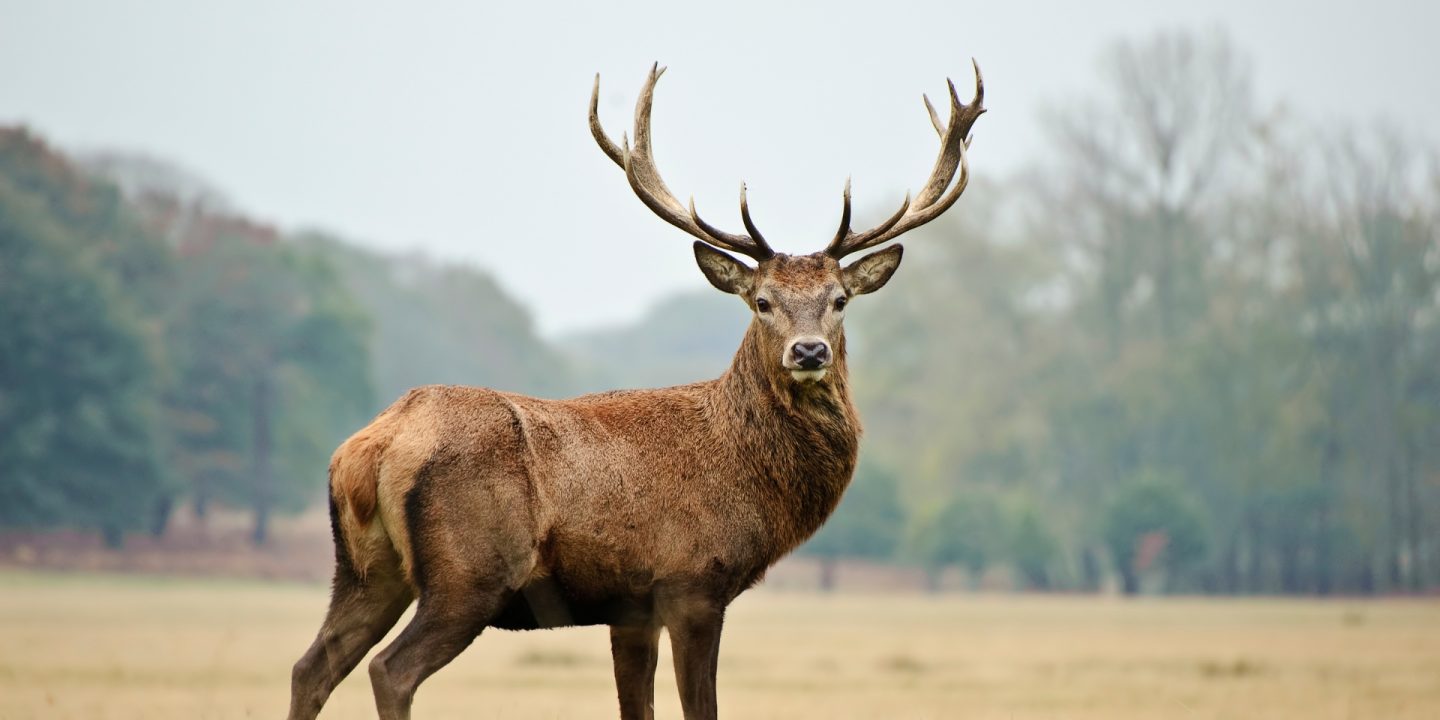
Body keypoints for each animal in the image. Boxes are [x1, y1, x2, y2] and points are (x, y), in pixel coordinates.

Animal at [289, 63, 990, 720]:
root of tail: (370, 448)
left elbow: (637, 707)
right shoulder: (691, 583)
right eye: (761, 301)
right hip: (469, 572)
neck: (747, 476)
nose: (809, 351)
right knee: (390, 670)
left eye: (839, 300)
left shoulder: (630, 610)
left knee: (310, 666)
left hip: (365, 571)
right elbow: (700, 709)